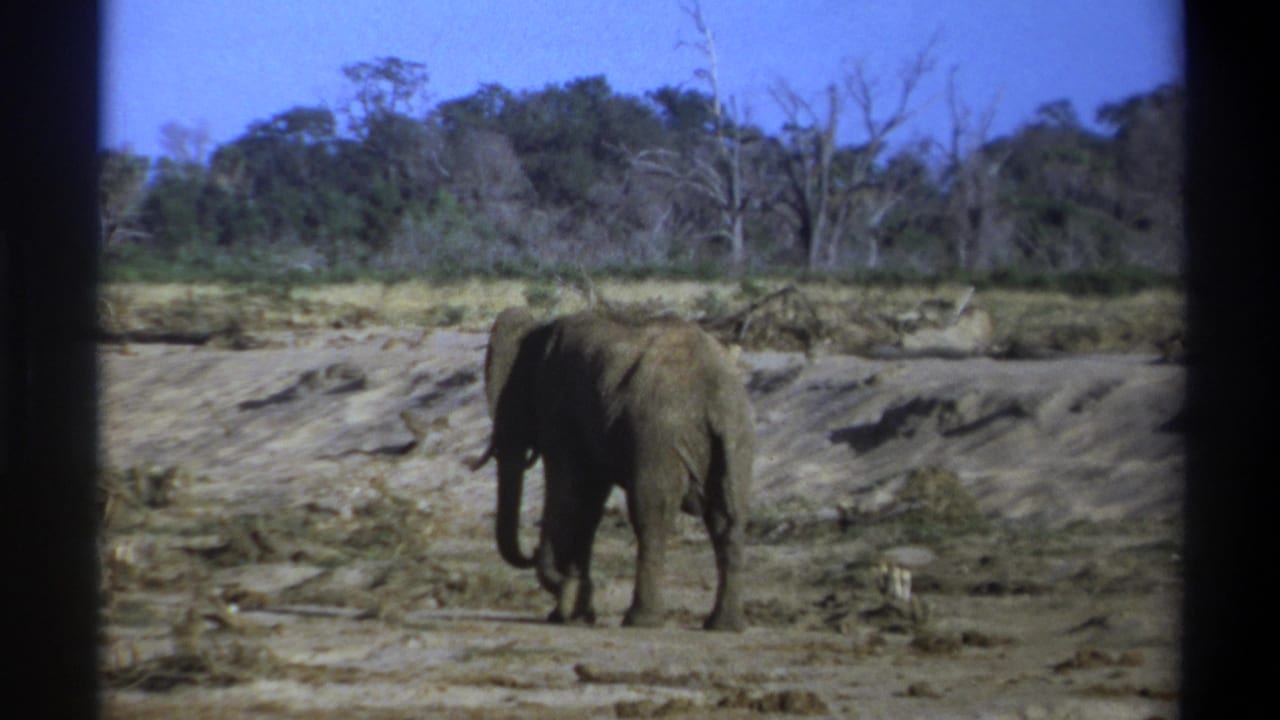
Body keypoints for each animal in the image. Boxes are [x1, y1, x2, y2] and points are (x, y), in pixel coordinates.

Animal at [471, 308, 755, 631]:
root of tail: (717, 396)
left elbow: (568, 491)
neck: (540, 329)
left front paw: (568, 604)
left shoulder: (559, 406)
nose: (532, 552)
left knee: (651, 515)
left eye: (511, 399)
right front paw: (574, 609)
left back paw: (641, 621)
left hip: (659, 438)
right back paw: (724, 625)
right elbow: (590, 501)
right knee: (729, 520)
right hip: (738, 439)